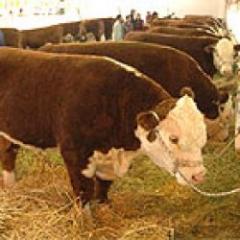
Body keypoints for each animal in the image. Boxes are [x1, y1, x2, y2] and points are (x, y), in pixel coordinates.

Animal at [0, 47, 206, 205]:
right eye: (174, 138)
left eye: (203, 137)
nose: (199, 175)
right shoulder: (75, 154)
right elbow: (83, 192)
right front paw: (86, 223)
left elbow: (103, 186)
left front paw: (104, 206)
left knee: (8, 154)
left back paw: (10, 187)